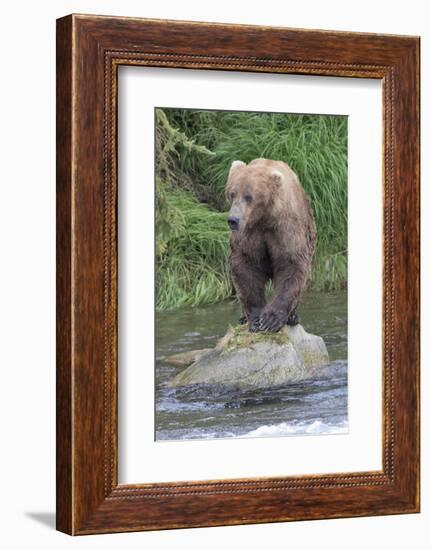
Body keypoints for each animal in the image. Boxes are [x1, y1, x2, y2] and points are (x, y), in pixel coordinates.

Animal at [226, 157, 318, 334]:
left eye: (248, 196)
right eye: (231, 193)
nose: (233, 219)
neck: (264, 218)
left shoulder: (285, 228)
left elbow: (291, 264)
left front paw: (270, 320)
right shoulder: (249, 233)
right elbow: (246, 266)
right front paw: (256, 320)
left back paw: (293, 317)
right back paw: (242, 318)